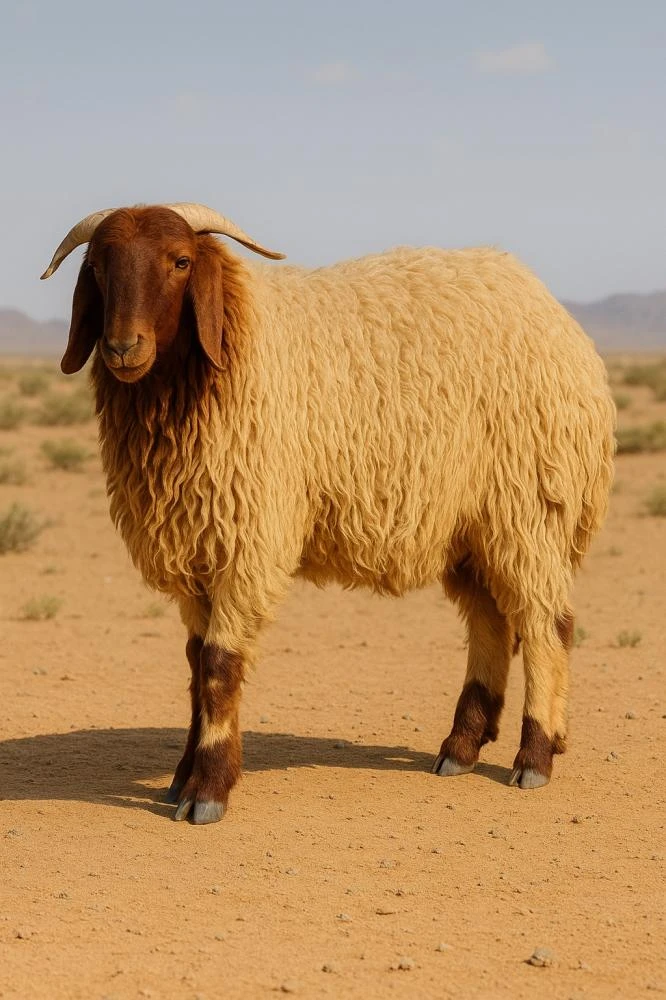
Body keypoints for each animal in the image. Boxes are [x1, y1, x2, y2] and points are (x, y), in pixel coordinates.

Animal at [41, 203, 615, 824]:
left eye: (180, 261)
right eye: (98, 267)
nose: (123, 348)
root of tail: (549, 308)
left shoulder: (249, 543)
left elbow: (219, 667)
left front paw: (208, 789)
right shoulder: (198, 549)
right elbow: (195, 666)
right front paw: (181, 777)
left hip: (527, 509)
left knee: (546, 624)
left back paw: (535, 755)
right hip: (470, 530)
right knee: (491, 622)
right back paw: (460, 749)